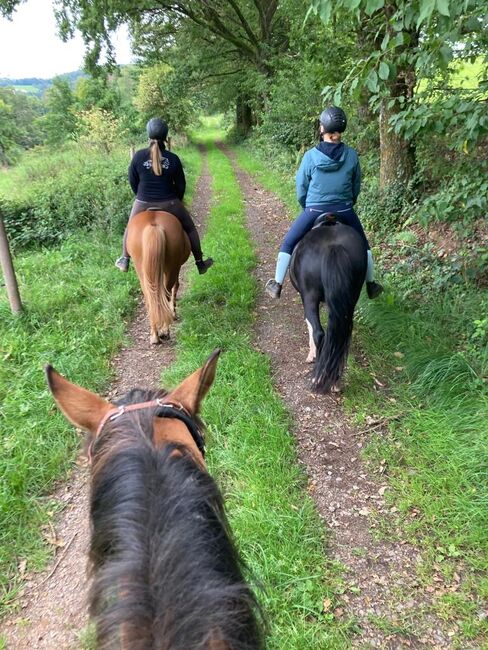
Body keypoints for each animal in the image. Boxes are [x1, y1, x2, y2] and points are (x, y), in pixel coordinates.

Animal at [126, 211, 191, 344]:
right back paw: (165, 331)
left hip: (142, 271)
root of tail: (153, 225)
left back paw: (155, 336)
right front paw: (173, 313)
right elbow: (176, 287)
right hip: (171, 268)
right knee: (165, 294)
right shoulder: (177, 267)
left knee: (151, 299)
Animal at [290, 215, 366, 392]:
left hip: (310, 297)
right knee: (342, 335)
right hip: (351, 297)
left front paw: (311, 355)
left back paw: (317, 378)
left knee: (319, 333)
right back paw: (335, 382)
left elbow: (310, 326)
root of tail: (334, 246)